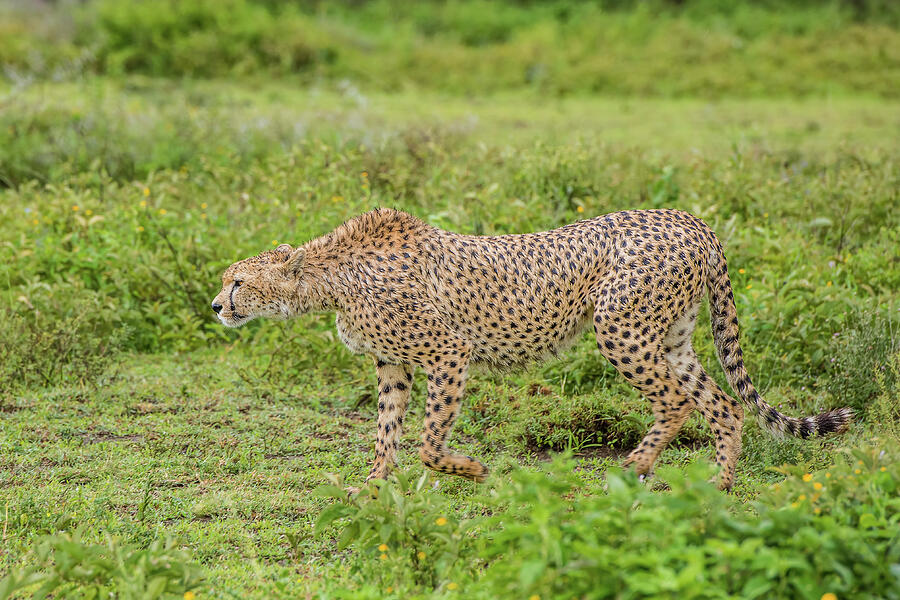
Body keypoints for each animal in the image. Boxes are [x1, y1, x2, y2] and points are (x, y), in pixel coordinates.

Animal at [211, 209, 852, 490]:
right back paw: (716, 483)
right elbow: (387, 433)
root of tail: (691, 219)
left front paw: (470, 468)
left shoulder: (449, 353)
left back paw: (635, 467)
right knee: (722, 403)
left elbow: (428, 442)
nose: (216, 306)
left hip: (618, 327)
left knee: (676, 402)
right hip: (670, 337)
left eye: (237, 281)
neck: (331, 278)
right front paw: (371, 487)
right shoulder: (392, 365)